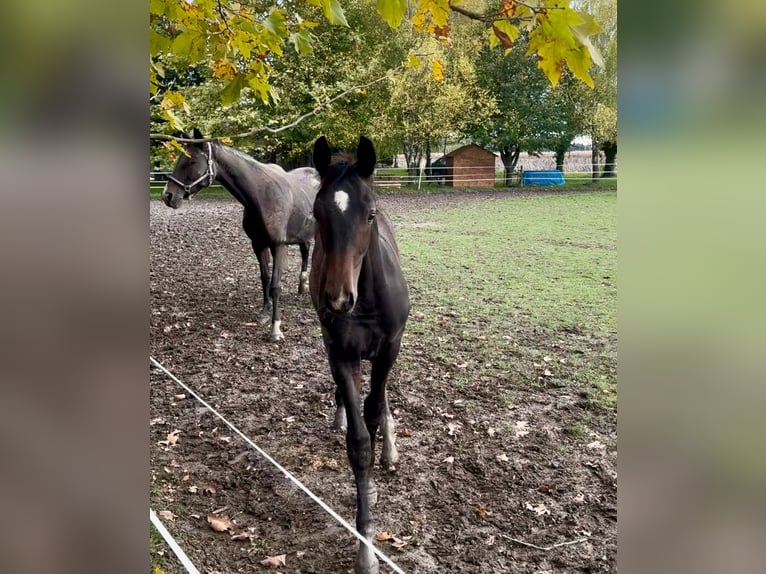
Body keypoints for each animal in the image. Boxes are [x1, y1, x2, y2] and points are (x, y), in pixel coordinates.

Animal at [160, 130, 320, 342]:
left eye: (191, 162)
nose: (168, 195)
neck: (262, 196)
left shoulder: (279, 245)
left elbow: (275, 285)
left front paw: (276, 328)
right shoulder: (258, 244)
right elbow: (265, 278)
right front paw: (265, 312)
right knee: (305, 251)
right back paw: (302, 286)